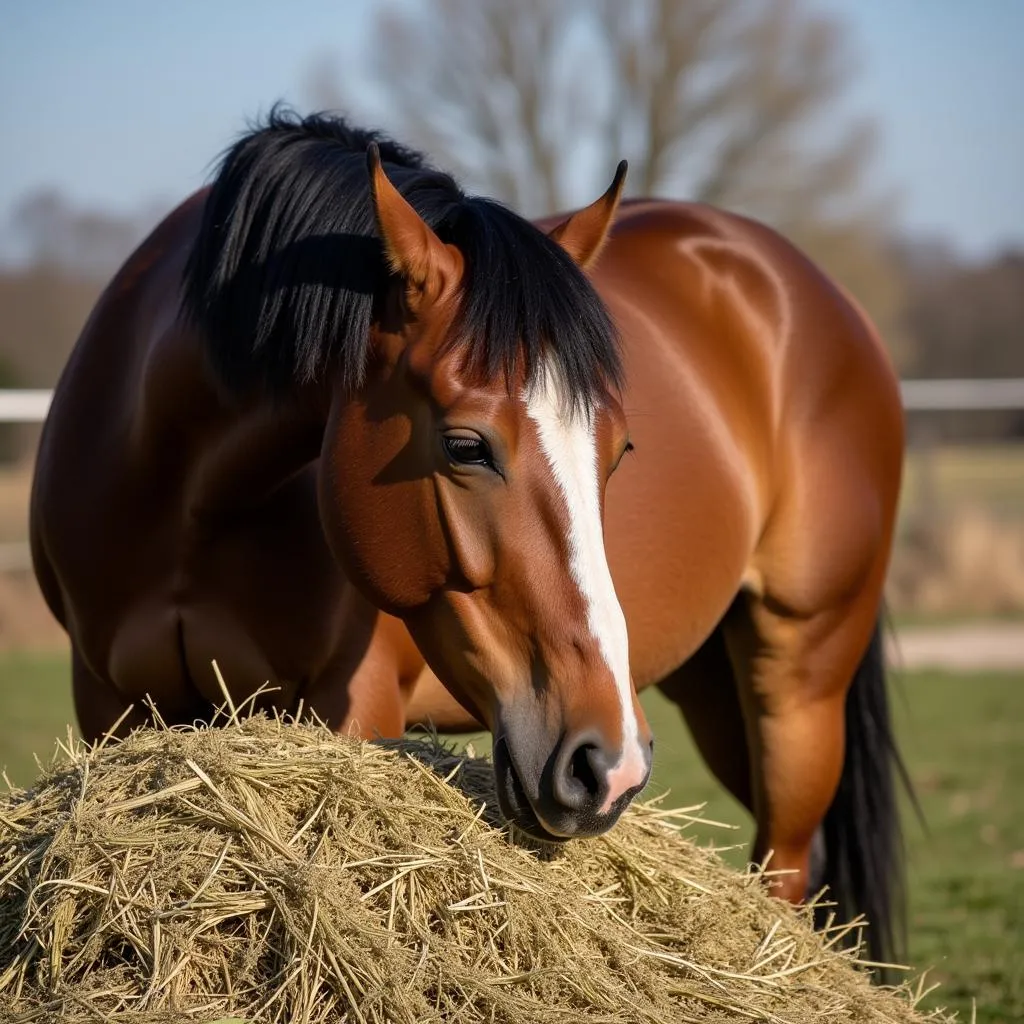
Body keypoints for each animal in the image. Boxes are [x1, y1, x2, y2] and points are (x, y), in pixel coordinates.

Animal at [28, 112, 909, 966]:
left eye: (620, 450)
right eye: (464, 446)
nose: (610, 762)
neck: (188, 503)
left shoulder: (352, 707)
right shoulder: (110, 704)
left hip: (797, 680)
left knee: (784, 866)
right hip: (715, 690)